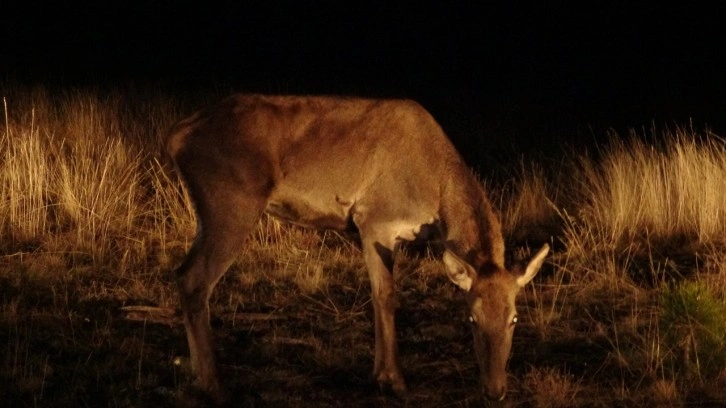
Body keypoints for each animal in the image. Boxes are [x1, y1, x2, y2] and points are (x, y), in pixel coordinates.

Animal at [165, 93, 552, 402]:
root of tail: (175, 137)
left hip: (208, 213)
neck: (434, 192)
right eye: (471, 318)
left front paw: (381, 374)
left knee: (183, 274)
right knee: (194, 280)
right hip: (231, 206)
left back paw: (198, 375)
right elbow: (386, 295)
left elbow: (379, 295)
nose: (495, 391)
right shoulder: (375, 221)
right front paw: (392, 380)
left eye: (515, 318)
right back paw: (213, 384)